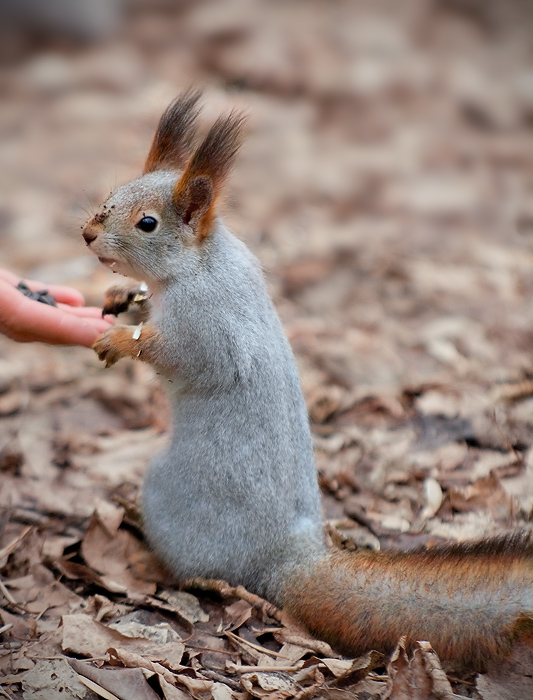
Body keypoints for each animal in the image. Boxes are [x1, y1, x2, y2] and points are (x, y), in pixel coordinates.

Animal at [82, 90, 532, 668]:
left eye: (147, 224)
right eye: (111, 196)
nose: (88, 234)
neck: (197, 266)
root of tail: (286, 559)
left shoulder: (209, 324)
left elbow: (184, 355)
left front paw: (120, 340)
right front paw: (121, 301)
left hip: (168, 490)